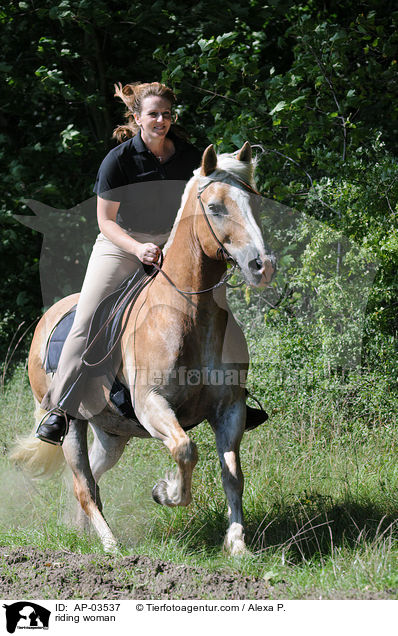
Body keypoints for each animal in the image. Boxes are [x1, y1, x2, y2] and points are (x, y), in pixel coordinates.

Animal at [10, 143, 276, 556]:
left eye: (256, 203)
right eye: (215, 207)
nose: (262, 266)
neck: (189, 313)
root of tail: (47, 319)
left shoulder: (229, 408)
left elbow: (233, 475)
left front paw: (236, 544)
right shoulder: (153, 403)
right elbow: (185, 449)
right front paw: (165, 492)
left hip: (111, 432)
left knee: (90, 479)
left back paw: (81, 533)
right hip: (71, 426)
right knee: (83, 484)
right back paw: (111, 546)